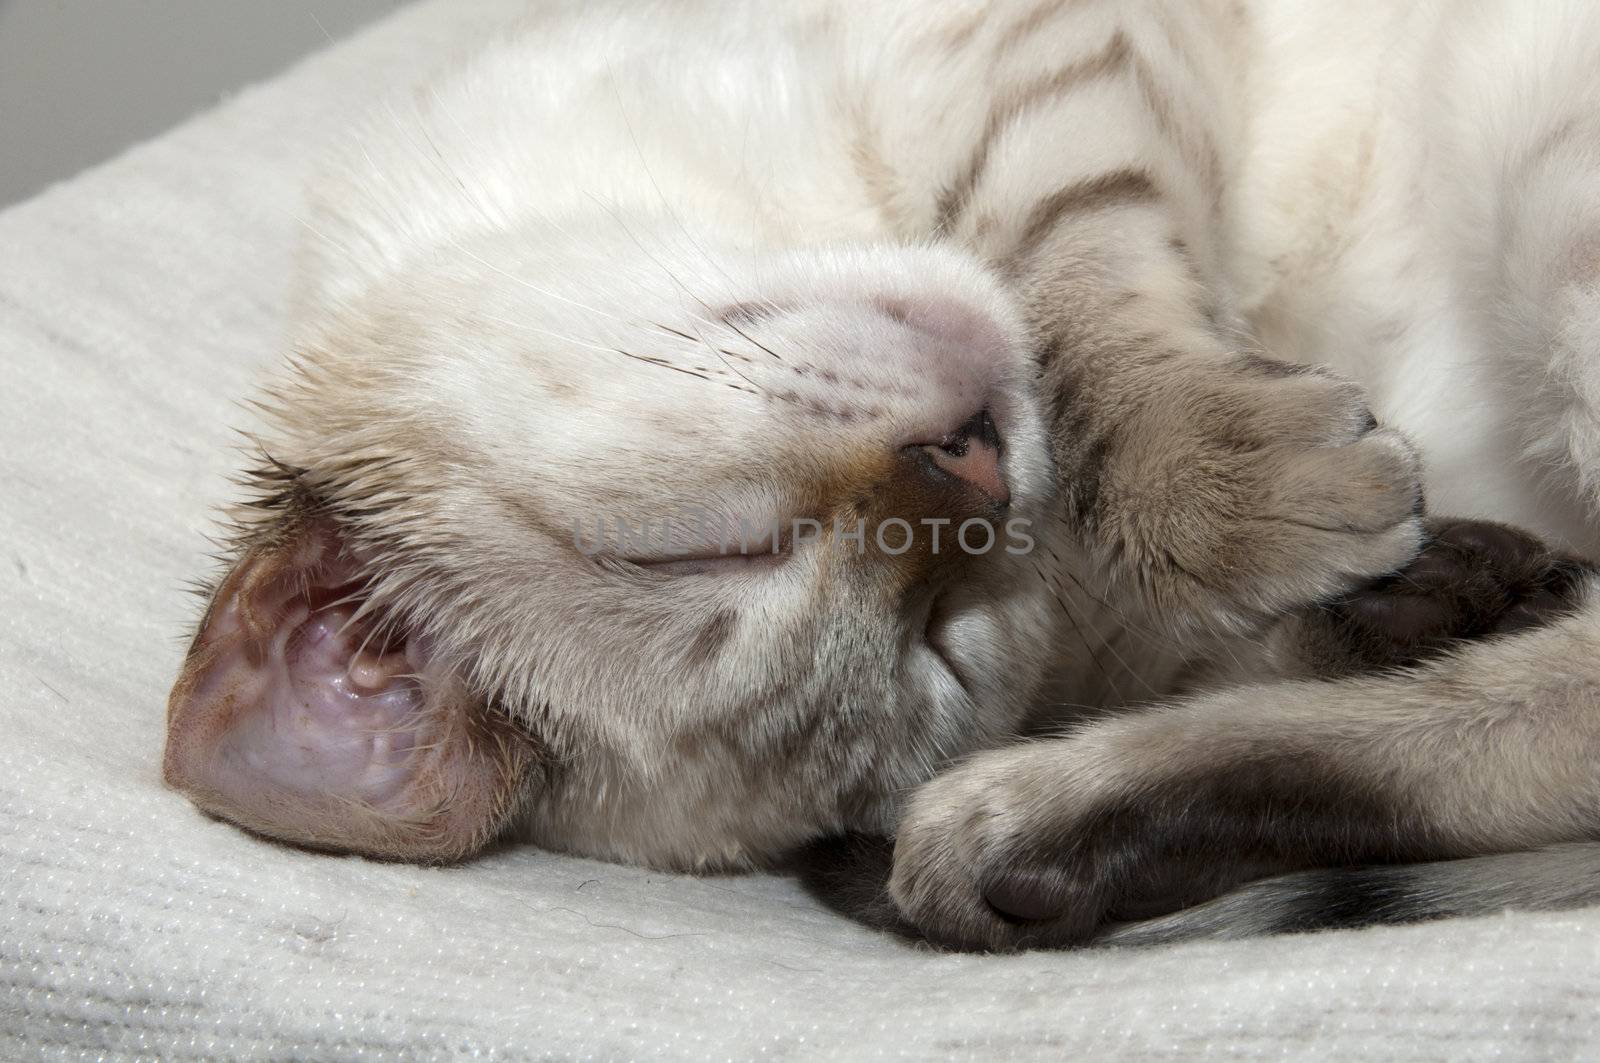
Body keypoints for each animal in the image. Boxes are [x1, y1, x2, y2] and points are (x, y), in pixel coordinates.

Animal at [162, 0, 1600, 947]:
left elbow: (1060, 280)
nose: (970, 463)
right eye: (939, 643)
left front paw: (1226, 495)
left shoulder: (1024, 54)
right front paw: (1407, 576)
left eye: (707, 544)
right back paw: (1041, 838)